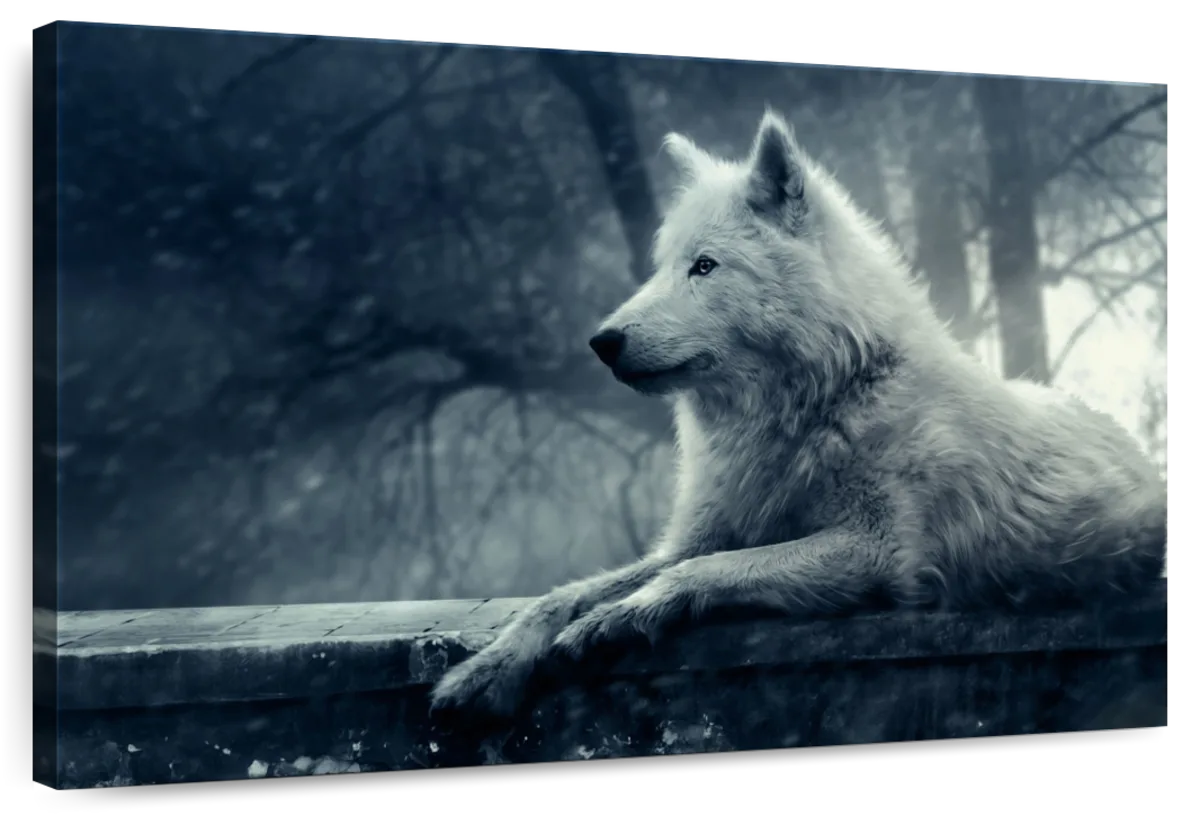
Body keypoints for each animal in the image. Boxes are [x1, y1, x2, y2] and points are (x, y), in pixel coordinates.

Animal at [429, 109, 1167, 722]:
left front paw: (623, 615)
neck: (816, 404)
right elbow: (564, 594)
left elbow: (700, 573)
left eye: (705, 266)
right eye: (663, 268)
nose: (602, 341)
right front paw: (488, 668)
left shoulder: (879, 552)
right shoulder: (702, 534)